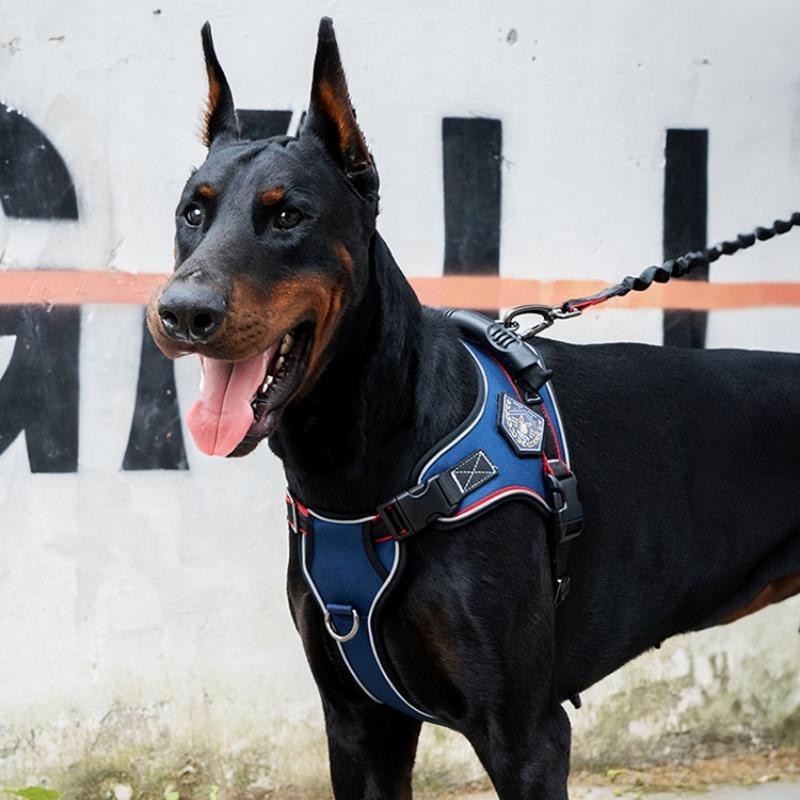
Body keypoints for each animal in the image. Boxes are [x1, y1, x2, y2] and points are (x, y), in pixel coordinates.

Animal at [148, 18, 800, 800]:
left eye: (288, 215)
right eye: (193, 211)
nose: (182, 312)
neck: (361, 464)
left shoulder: (525, 734)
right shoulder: (357, 724)